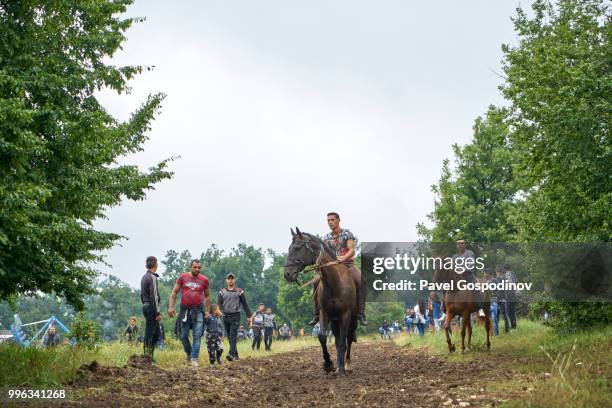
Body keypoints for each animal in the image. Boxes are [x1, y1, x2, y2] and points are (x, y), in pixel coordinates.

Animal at [284, 228, 358, 374]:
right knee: (337, 340)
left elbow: (343, 341)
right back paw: (338, 365)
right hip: (335, 320)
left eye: (297, 248)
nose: (287, 274)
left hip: (352, 319)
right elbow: (323, 337)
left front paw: (341, 369)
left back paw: (346, 365)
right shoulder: (325, 312)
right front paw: (328, 364)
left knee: (349, 339)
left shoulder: (346, 314)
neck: (334, 283)